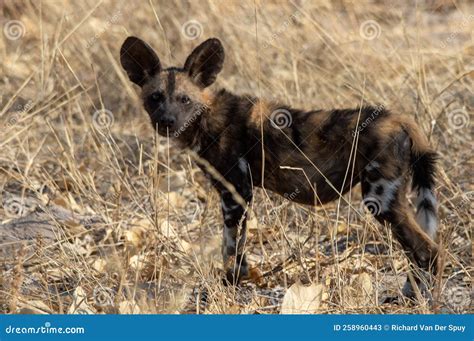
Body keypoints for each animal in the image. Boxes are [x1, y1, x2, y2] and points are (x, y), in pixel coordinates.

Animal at [120, 37, 438, 296]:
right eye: (155, 98)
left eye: (184, 100)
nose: (167, 121)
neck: (206, 119)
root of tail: (399, 119)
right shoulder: (237, 194)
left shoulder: (237, 193)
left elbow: (231, 247)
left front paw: (230, 283)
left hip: (380, 200)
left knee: (429, 250)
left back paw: (416, 298)